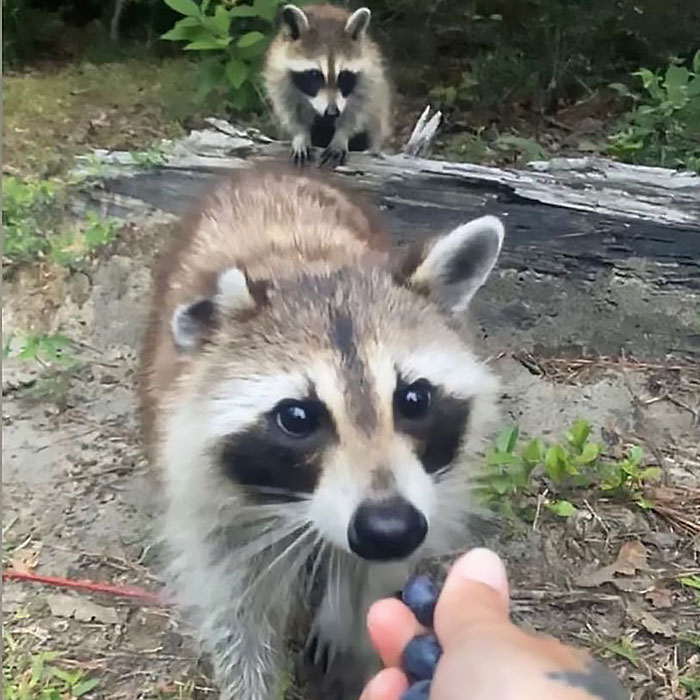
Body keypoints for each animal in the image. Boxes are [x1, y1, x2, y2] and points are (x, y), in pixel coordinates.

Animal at [139, 166, 504, 700]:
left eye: (414, 400)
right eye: (297, 418)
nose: (389, 529)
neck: (308, 268)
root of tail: (265, 171)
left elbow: (367, 587)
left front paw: (353, 643)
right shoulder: (207, 495)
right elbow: (236, 615)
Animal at [263, 3, 391, 166]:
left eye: (343, 75)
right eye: (315, 74)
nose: (332, 112)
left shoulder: (368, 76)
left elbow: (356, 110)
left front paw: (341, 136)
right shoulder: (279, 75)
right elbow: (290, 110)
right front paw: (301, 134)